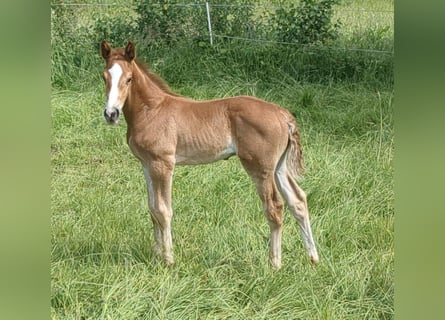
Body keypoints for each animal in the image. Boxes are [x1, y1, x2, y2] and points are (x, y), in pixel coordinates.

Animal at [99, 40, 318, 270]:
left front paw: (168, 259)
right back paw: (313, 258)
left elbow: (163, 210)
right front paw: (156, 255)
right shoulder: (146, 164)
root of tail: (283, 114)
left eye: (129, 79)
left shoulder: (163, 164)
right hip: (279, 167)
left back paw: (274, 263)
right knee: (298, 200)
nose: (111, 114)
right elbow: (152, 210)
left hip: (260, 168)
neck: (151, 110)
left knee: (275, 207)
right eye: (104, 77)